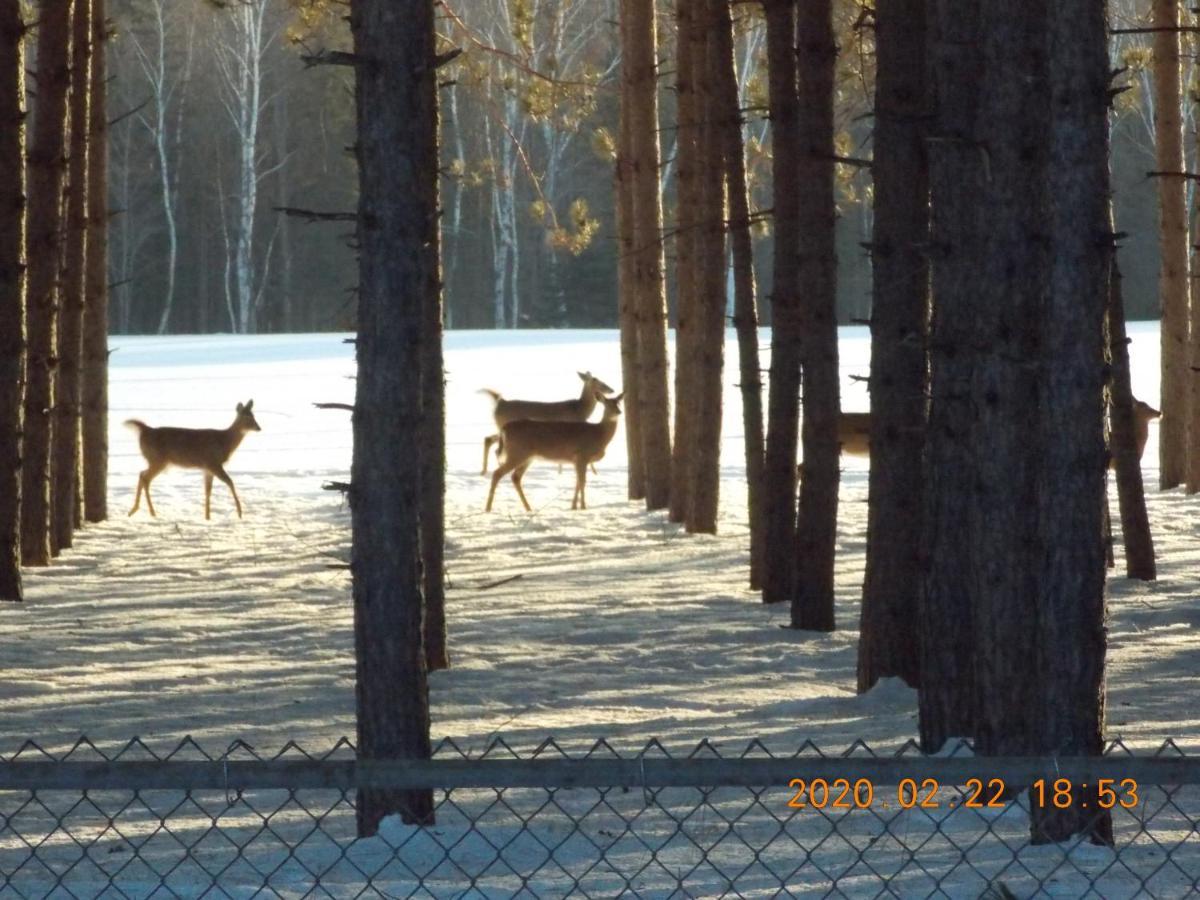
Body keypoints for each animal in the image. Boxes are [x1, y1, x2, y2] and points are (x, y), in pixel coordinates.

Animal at [126, 400, 262, 520]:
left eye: (253, 415)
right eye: (247, 417)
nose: (258, 428)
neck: (225, 441)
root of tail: (145, 430)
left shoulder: (208, 468)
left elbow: (208, 491)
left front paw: (207, 517)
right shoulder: (213, 463)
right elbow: (230, 482)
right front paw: (240, 513)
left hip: (155, 460)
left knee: (141, 474)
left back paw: (134, 510)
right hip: (158, 459)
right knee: (145, 478)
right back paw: (151, 512)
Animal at [480, 369, 614, 475]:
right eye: (596, 380)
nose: (611, 389)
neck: (579, 409)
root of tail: (500, 403)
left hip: (501, 428)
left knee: (489, 440)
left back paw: (484, 470)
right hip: (504, 427)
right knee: (494, 445)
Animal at [482, 388, 624, 511]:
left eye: (618, 403)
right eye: (606, 404)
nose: (619, 412)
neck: (599, 434)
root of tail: (504, 428)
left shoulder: (577, 460)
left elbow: (577, 482)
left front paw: (574, 506)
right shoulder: (581, 455)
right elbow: (582, 482)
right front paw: (583, 507)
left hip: (527, 457)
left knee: (515, 477)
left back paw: (528, 508)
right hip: (517, 453)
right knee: (497, 474)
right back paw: (488, 508)